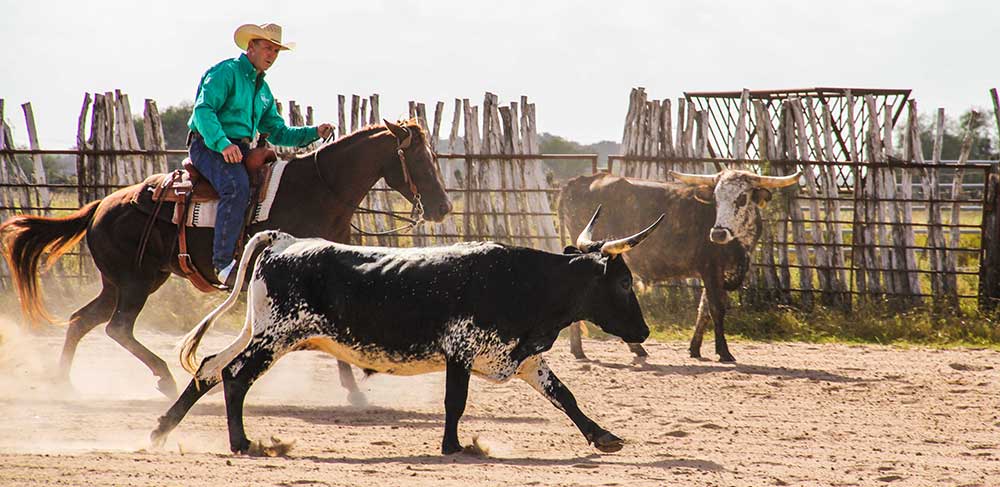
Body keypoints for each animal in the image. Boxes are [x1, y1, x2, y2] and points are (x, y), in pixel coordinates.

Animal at [0, 119, 452, 400]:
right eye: (418, 159)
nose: (444, 207)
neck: (320, 190)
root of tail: (100, 206)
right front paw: (355, 392)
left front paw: (354, 390)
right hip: (134, 283)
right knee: (117, 328)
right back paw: (164, 378)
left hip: (123, 282)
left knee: (82, 322)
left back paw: (65, 385)